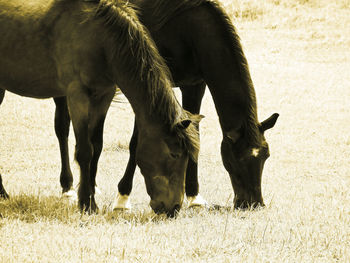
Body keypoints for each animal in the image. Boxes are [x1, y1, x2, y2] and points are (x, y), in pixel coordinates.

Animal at [0, 0, 202, 217]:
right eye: (174, 154)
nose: (174, 208)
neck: (101, 40)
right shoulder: (77, 96)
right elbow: (84, 150)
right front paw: (85, 204)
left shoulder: (103, 96)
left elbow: (96, 145)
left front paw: (92, 198)